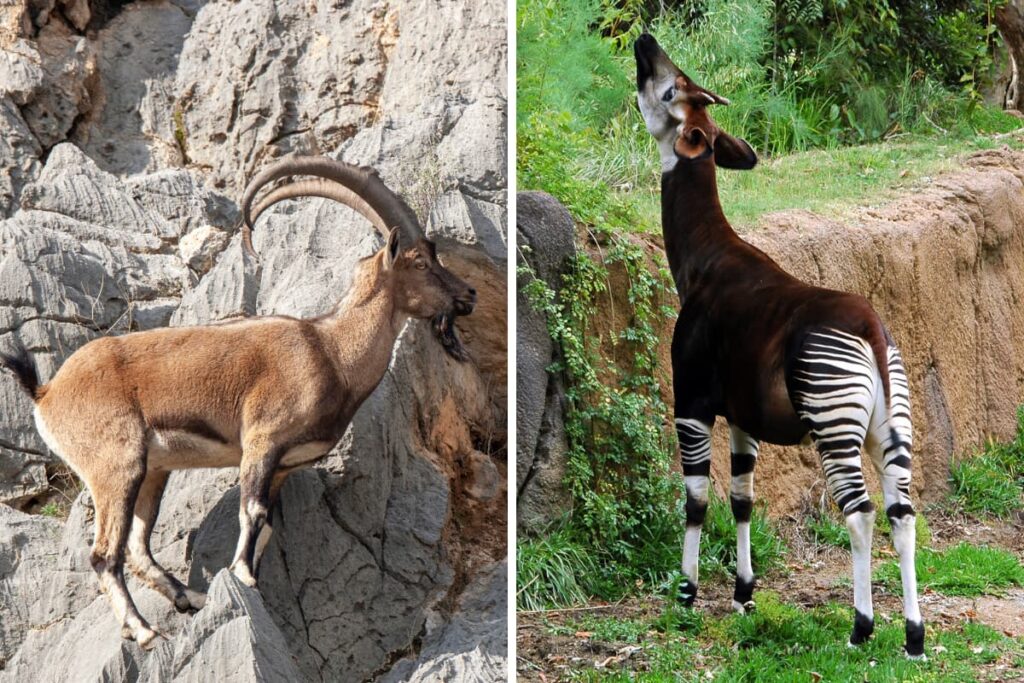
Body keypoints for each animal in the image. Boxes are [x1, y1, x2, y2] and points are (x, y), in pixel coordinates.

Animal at [0, 157, 477, 651]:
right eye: (419, 261)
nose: (468, 295)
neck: (332, 352)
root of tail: (47, 393)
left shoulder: (284, 466)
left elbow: (267, 526)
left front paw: (250, 580)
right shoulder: (262, 441)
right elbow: (253, 511)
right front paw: (243, 575)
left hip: (153, 471)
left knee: (136, 546)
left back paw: (188, 597)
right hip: (116, 464)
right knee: (103, 554)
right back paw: (144, 629)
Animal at [634, 34, 925, 659]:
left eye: (670, 89)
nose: (645, 42)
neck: (702, 260)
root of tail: (872, 329)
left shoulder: (692, 404)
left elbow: (697, 498)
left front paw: (687, 593)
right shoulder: (744, 417)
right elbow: (743, 498)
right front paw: (744, 595)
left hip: (832, 423)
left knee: (860, 514)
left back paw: (860, 628)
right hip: (890, 425)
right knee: (902, 513)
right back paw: (913, 638)